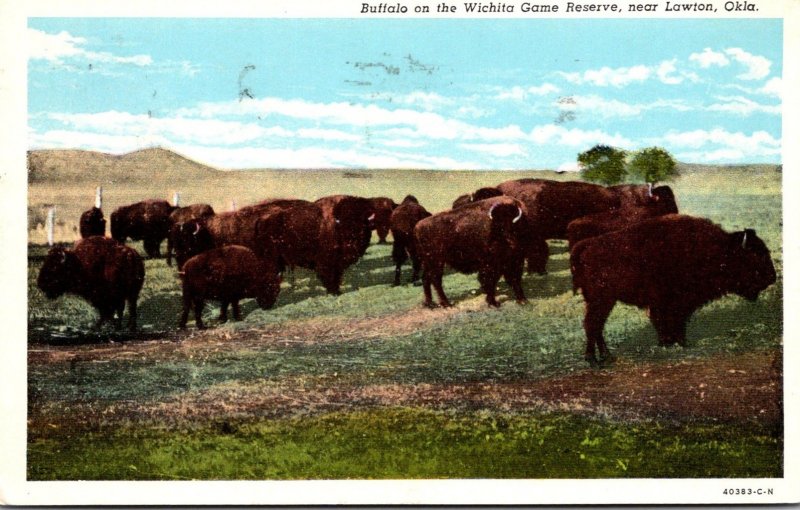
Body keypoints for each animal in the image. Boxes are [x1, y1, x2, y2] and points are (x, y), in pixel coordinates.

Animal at [572, 213, 780, 364]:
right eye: (756, 254)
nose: (772, 277)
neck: (720, 250)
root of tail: (587, 245)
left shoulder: (664, 304)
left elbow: (666, 322)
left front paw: (669, 343)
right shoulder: (676, 302)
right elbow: (674, 322)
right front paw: (679, 343)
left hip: (601, 300)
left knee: (596, 326)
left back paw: (606, 357)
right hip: (602, 299)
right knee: (593, 324)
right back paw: (593, 359)